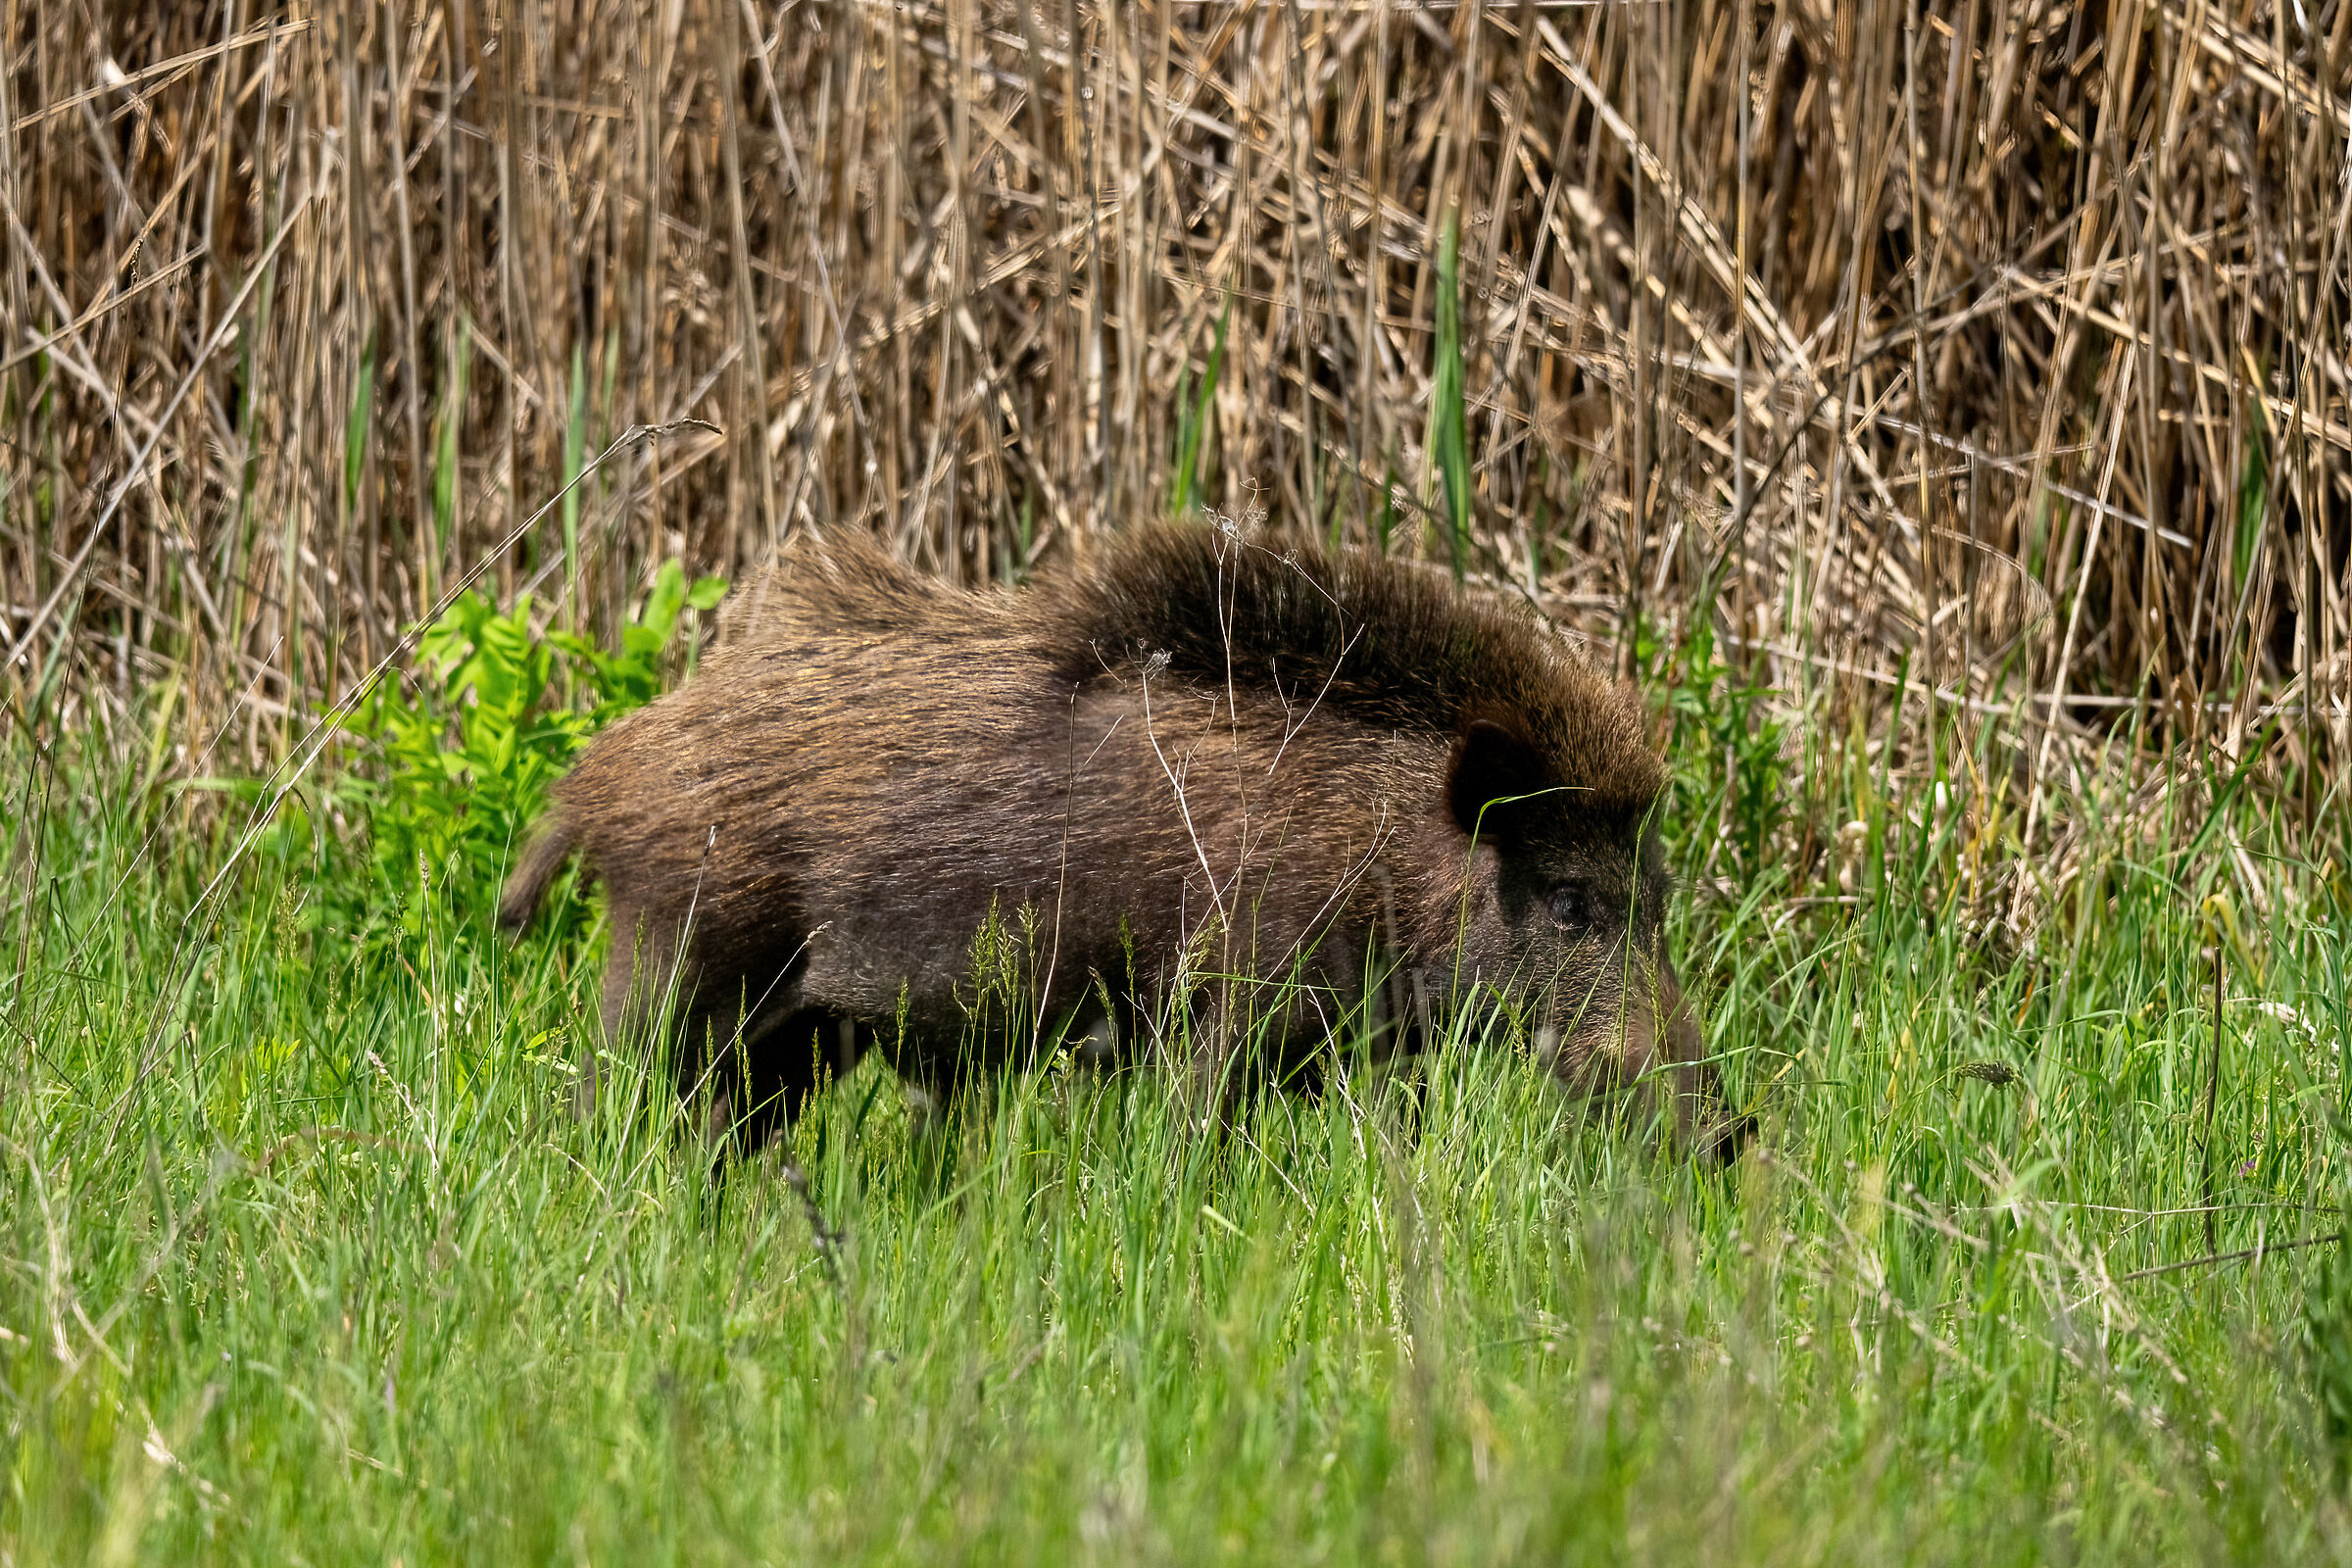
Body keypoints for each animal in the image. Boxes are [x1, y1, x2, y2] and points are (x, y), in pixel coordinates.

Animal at [500, 523, 1739, 1157]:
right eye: (1569, 898)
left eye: (1660, 895)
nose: (1729, 1131)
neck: (1383, 852)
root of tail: (598, 775)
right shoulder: (1223, 1001)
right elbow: (1195, 1143)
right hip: (677, 962)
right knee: (598, 1105)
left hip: (791, 1039)